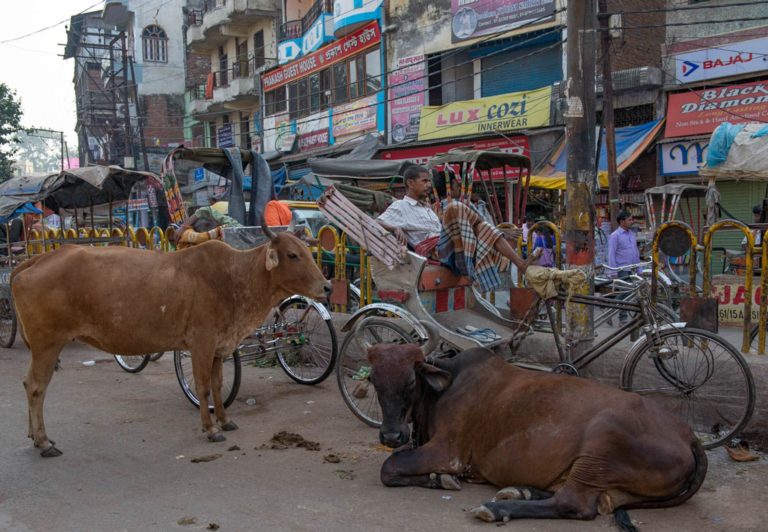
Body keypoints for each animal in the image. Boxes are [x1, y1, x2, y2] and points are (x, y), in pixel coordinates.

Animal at [11, 221, 330, 457]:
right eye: (292, 255)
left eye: (308, 251)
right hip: (47, 344)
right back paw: (44, 442)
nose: (326, 286)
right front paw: (210, 429)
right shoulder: (202, 344)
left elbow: (218, 386)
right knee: (37, 387)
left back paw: (34, 436)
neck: (233, 278)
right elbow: (202, 387)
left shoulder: (219, 348)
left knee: (28, 384)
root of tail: (39, 258)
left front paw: (225, 421)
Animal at [364, 327, 707, 530]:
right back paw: (521, 490)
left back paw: (495, 507)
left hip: (602, 443)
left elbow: (388, 467)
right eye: (374, 381)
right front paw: (437, 478)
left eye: (411, 381)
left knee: (573, 503)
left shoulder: (448, 452)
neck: (445, 386)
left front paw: (440, 479)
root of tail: (689, 436)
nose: (390, 435)